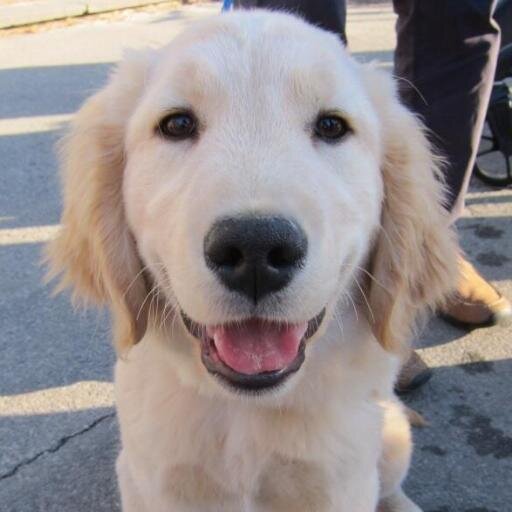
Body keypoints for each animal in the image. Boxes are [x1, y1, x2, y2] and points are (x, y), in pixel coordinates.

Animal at [47, 9, 456, 512]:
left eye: (331, 126)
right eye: (177, 124)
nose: (256, 250)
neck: (247, 413)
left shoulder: (341, 483)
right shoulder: (154, 479)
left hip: (391, 436)